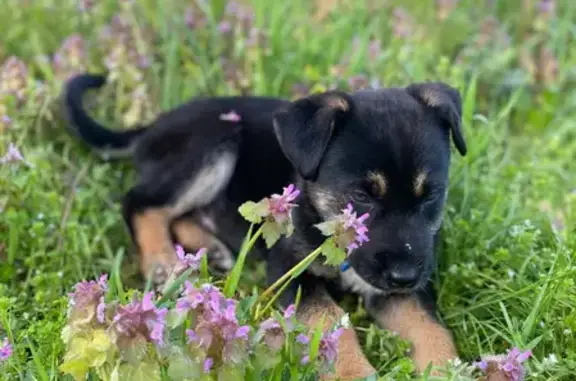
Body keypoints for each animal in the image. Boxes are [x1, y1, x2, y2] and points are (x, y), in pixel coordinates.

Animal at [63, 72, 468, 378]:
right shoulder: (290, 272)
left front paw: (451, 369)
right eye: (361, 196)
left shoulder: (400, 290)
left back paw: (209, 250)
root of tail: (153, 125)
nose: (405, 277)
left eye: (431, 194)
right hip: (216, 141)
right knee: (140, 202)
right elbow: (331, 322)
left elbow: (432, 329)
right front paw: (355, 372)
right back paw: (162, 260)